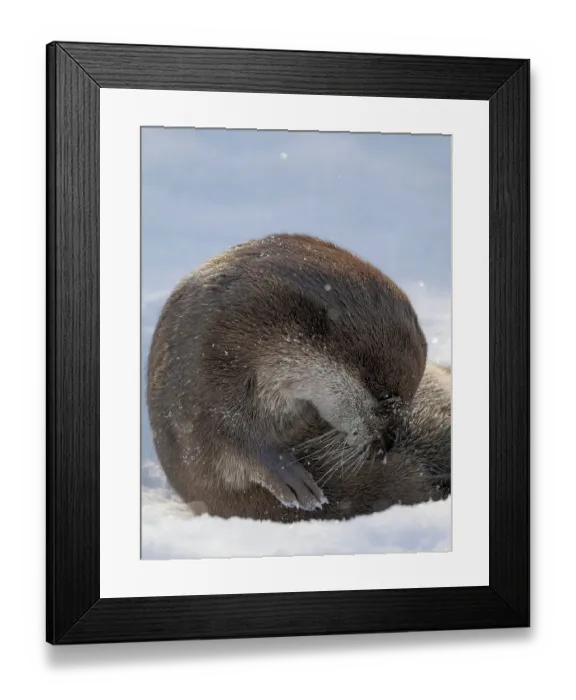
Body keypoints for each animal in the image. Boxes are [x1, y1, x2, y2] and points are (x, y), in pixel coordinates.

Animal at [146, 233, 428, 515]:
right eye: (384, 399)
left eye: (409, 401)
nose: (388, 444)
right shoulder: (201, 379)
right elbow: (224, 441)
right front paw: (285, 473)